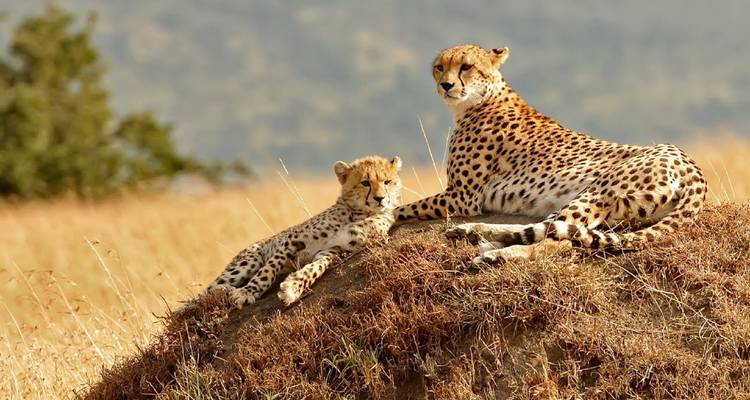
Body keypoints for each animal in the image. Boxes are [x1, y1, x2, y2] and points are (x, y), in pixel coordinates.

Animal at [206, 155, 402, 308]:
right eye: (365, 183)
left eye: (387, 182)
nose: (380, 198)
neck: (359, 213)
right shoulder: (292, 240)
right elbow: (268, 269)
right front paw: (248, 292)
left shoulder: (334, 251)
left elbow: (315, 268)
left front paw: (293, 286)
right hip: (250, 260)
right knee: (207, 291)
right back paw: (224, 289)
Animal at [394, 44, 706, 265]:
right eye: (439, 67)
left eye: (466, 67)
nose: (445, 85)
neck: (481, 99)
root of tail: (690, 164)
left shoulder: (461, 196)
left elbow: (402, 208)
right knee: (548, 228)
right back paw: (474, 234)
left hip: (596, 192)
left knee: (558, 239)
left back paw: (494, 253)